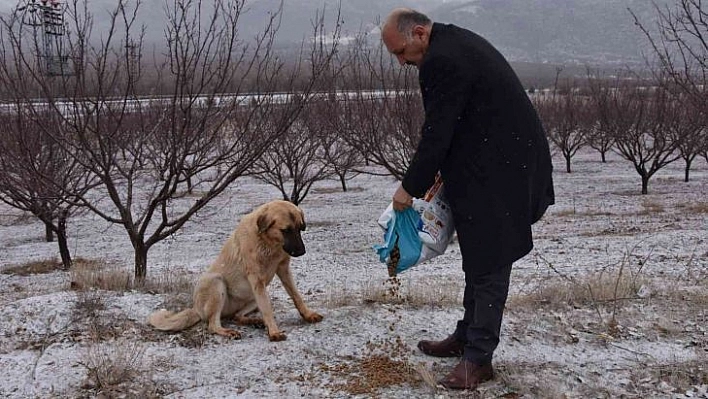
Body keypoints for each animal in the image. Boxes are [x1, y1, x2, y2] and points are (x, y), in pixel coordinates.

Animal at [147, 202, 324, 342]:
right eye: (286, 230)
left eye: (300, 228)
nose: (302, 251)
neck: (268, 243)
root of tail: (195, 308)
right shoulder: (257, 279)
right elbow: (267, 309)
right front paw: (274, 332)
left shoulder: (283, 270)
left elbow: (296, 296)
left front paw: (308, 314)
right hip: (217, 282)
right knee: (213, 324)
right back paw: (229, 331)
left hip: (256, 295)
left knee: (236, 316)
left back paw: (254, 322)